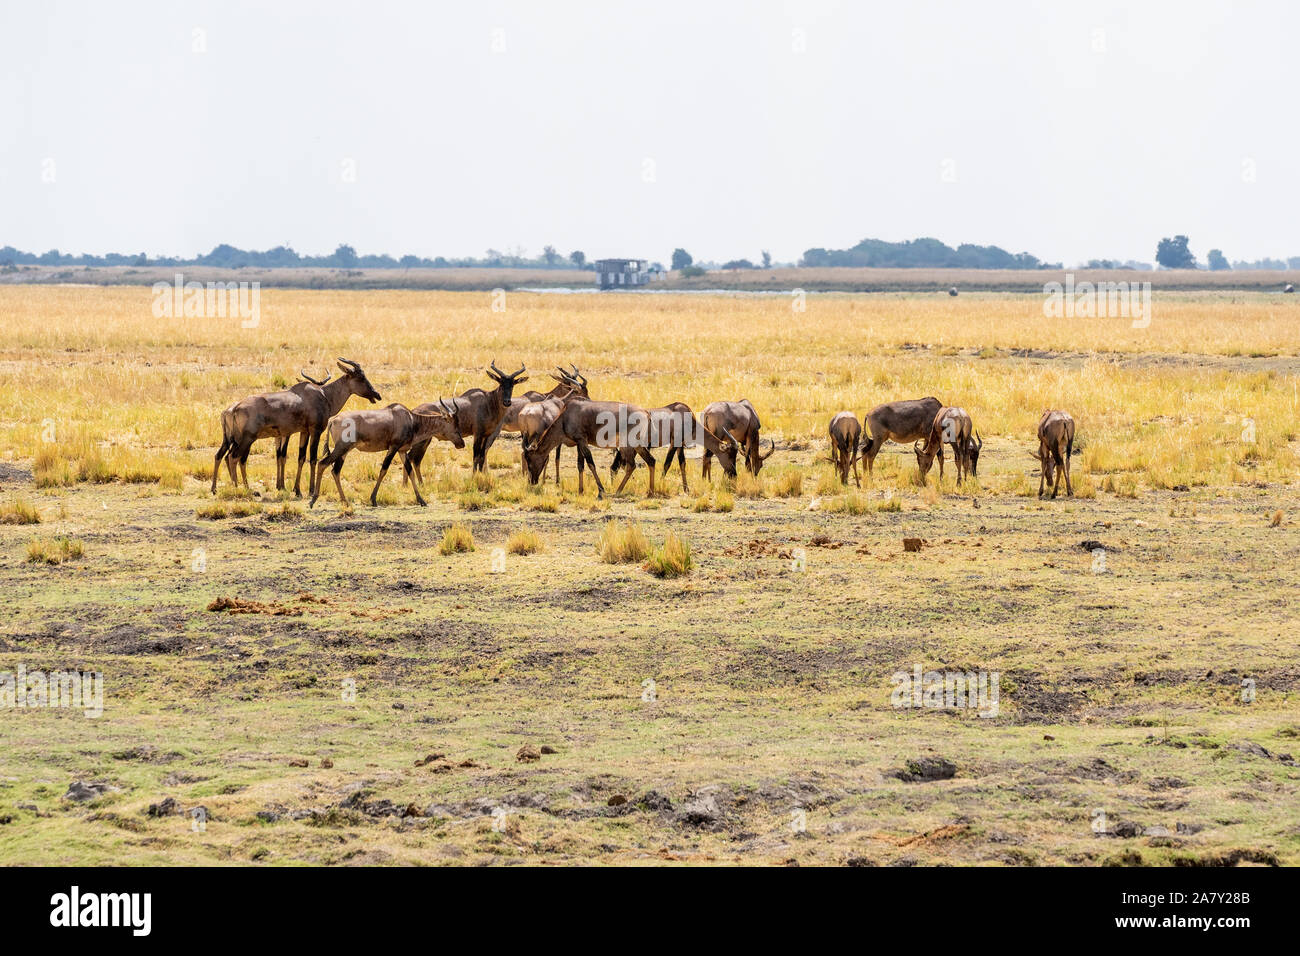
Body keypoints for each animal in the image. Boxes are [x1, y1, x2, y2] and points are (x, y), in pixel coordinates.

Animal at [211, 356, 379, 496]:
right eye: (361, 377)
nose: (377, 395)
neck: (323, 395)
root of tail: (235, 408)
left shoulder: (303, 432)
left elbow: (300, 458)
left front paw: (296, 490)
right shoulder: (315, 431)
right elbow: (312, 458)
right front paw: (310, 490)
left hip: (234, 439)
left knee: (222, 456)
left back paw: (217, 488)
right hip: (247, 439)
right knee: (234, 457)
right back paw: (238, 489)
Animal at [310, 400, 462, 512]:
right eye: (454, 425)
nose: (461, 443)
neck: (409, 418)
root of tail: (333, 420)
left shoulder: (401, 451)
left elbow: (410, 471)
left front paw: (422, 501)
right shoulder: (393, 448)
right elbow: (384, 469)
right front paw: (373, 499)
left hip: (344, 451)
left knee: (335, 471)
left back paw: (345, 502)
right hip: (341, 448)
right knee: (323, 464)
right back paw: (313, 500)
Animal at [522, 398, 738, 496]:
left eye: (529, 458)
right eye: (731, 455)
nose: (532, 481)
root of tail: (646, 413)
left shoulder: (582, 441)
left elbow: (590, 463)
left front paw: (601, 490)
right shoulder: (579, 443)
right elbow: (582, 465)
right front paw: (583, 490)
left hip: (631, 446)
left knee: (635, 464)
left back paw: (622, 491)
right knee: (641, 463)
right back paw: (640, 491)